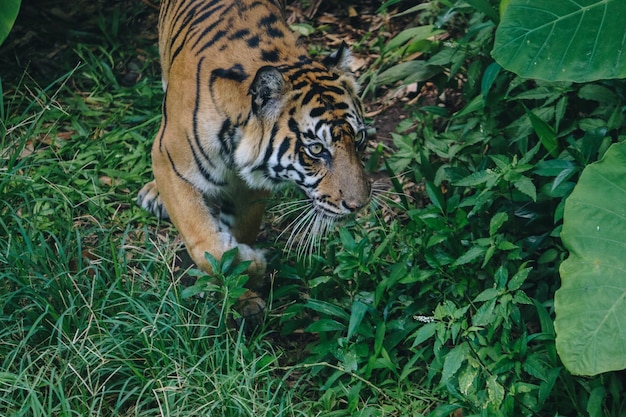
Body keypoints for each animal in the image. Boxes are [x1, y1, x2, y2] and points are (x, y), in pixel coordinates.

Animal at [137, 0, 370, 308]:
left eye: (359, 138)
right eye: (316, 149)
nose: (359, 205)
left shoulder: (250, 188)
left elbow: (238, 235)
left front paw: (244, 286)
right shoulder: (170, 163)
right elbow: (204, 243)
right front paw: (254, 267)